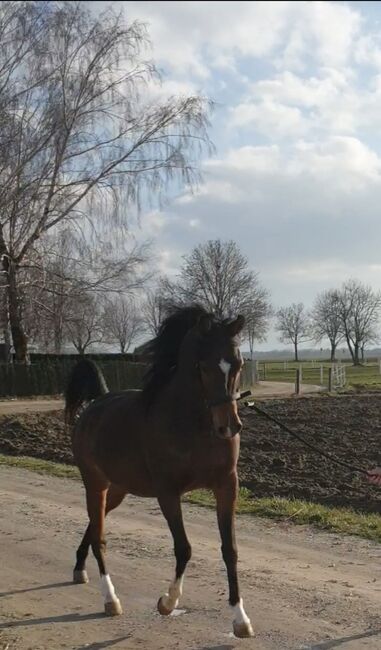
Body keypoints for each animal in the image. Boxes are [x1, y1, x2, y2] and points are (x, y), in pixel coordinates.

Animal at [66, 306, 252, 636]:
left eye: (238, 363)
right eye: (203, 366)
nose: (228, 427)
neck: (193, 426)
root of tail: (95, 404)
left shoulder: (226, 486)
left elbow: (230, 550)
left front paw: (240, 618)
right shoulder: (168, 493)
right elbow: (184, 548)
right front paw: (167, 602)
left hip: (118, 490)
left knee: (93, 525)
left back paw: (79, 569)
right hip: (95, 484)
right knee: (99, 536)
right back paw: (110, 599)